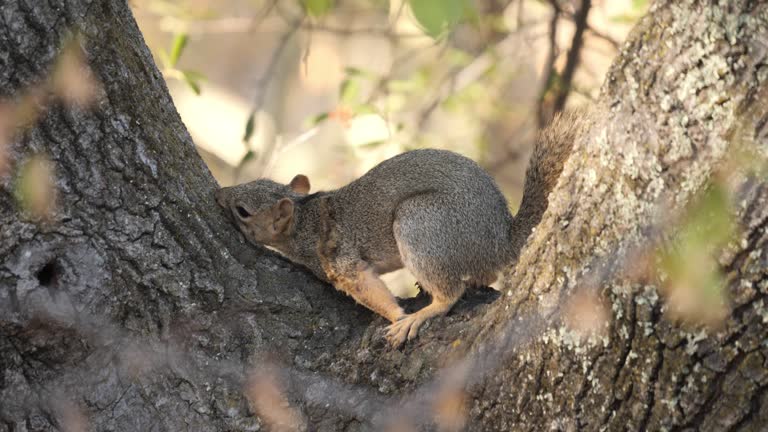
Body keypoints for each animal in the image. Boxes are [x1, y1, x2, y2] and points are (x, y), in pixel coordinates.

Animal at [213, 111, 584, 348]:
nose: (219, 194)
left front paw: (396, 316)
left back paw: (421, 315)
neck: (305, 218)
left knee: (450, 294)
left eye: (243, 210)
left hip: (421, 222)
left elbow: (366, 287)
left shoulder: (340, 259)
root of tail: (501, 240)